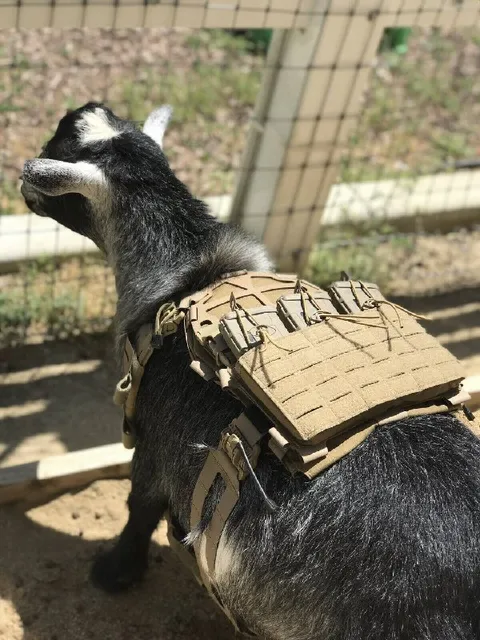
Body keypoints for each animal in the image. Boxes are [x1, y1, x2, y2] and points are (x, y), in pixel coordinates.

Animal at [21, 102, 480, 640]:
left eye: (56, 149)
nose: (23, 187)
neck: (188, 270)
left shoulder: (155, 441)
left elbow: (141, 507)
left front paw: (114, 573)